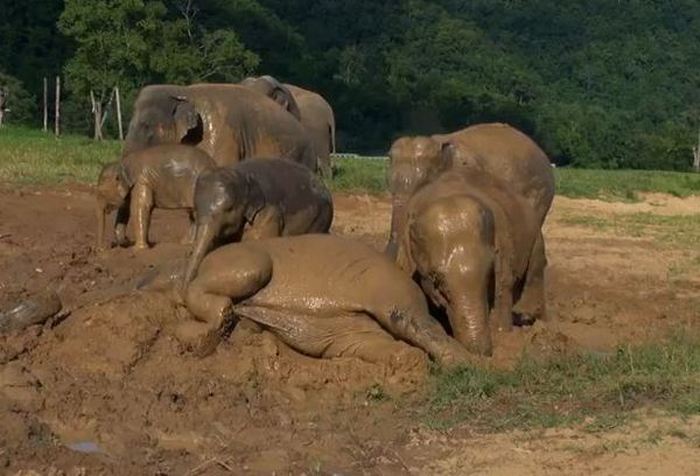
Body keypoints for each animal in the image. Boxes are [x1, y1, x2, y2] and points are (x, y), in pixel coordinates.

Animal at [142, 234, 470, 368]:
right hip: (354, 332)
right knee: (389, 341)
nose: (138, 282)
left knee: (417, 323)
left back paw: (467, 364)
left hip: (390, 293)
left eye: (151, 270)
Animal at [180, 159, 334, 286]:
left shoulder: (268, 212)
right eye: (195, 210)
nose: (184, 289)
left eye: (229, 209)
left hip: (321, 217)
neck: (242, 175)